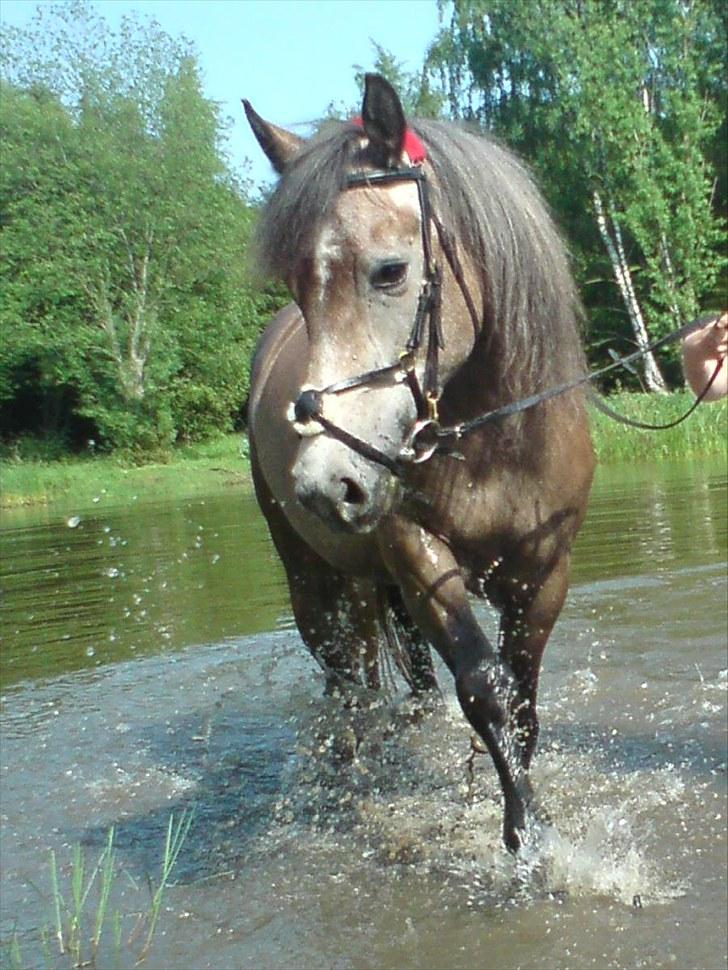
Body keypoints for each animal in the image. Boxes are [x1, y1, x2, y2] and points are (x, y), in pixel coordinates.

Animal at [245, 73, 596, 848]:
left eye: (389, 271)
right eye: (297, 287)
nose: (324, 486)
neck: (492, 442)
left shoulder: (544, 573)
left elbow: (522, 700)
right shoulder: (418, 557)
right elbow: (485, 688)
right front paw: (527, 839)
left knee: (410, 685)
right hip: (317, 586)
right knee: (349, 690)